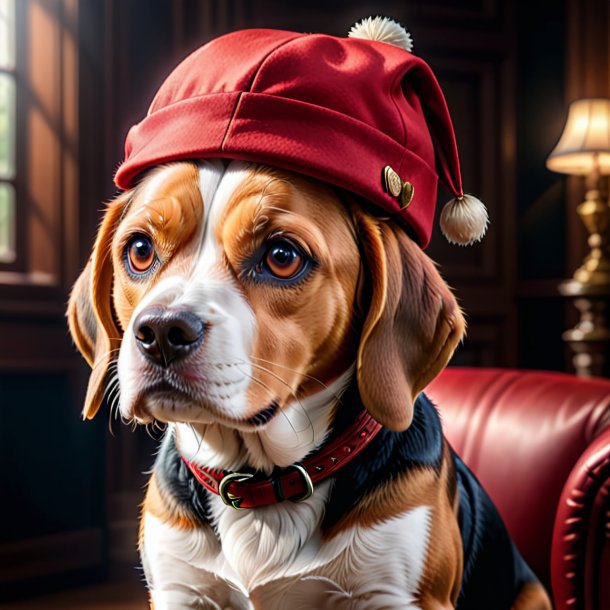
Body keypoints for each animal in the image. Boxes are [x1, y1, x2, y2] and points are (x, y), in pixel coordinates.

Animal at [67, 159, 552, 604]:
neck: (262, 486)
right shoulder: (179, 590)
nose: (162, 332)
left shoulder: (401, 595)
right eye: (140, 250)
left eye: (282, 257)